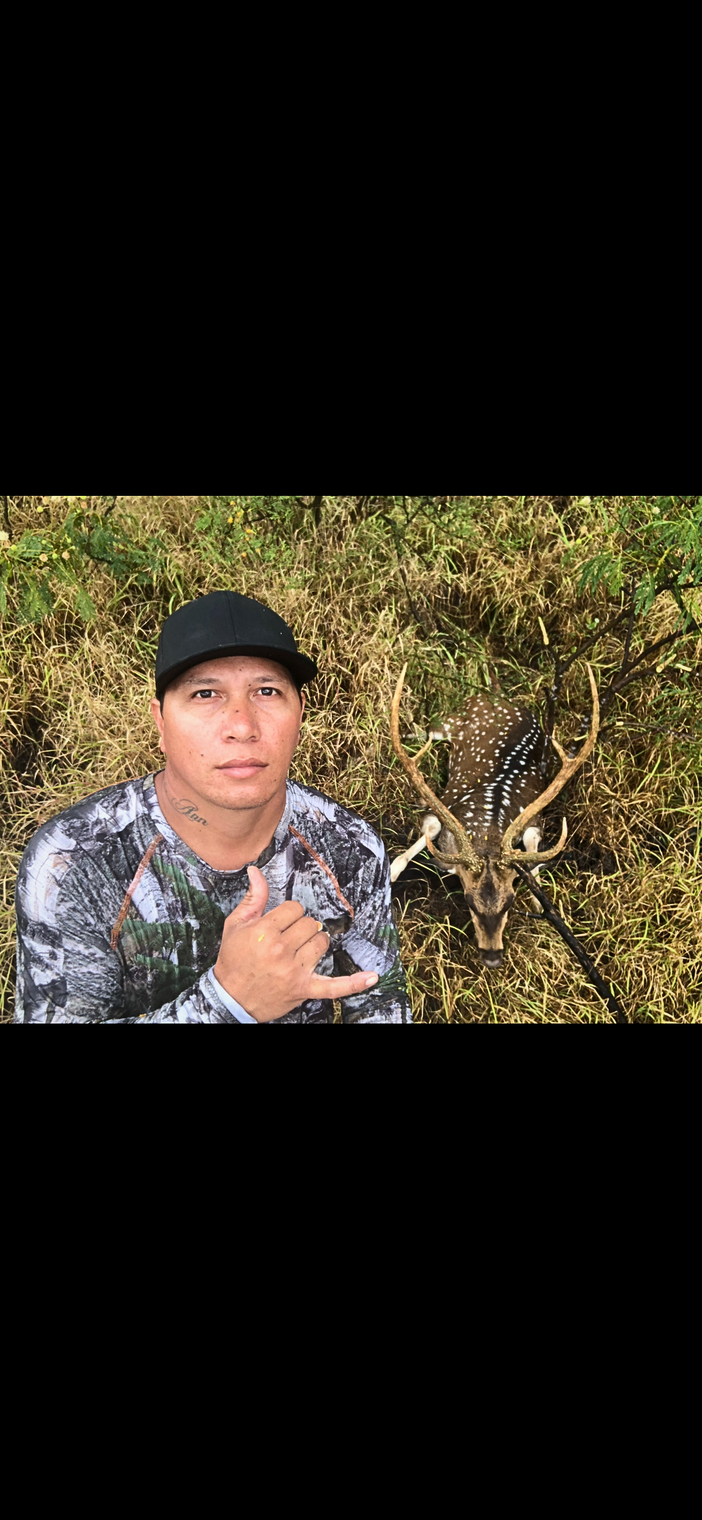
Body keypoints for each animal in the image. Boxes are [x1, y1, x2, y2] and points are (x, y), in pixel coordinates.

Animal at [389, 663, 600, 970]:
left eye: (510, 901)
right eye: (468, 900)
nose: (492, 957)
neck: (488, 830)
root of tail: (498, 695)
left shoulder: (532, 821)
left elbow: (533, 848)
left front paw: (538, 899)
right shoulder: (446, 805)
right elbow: (415, 845)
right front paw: (392, 872)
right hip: (450, 720)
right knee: (424, 730)